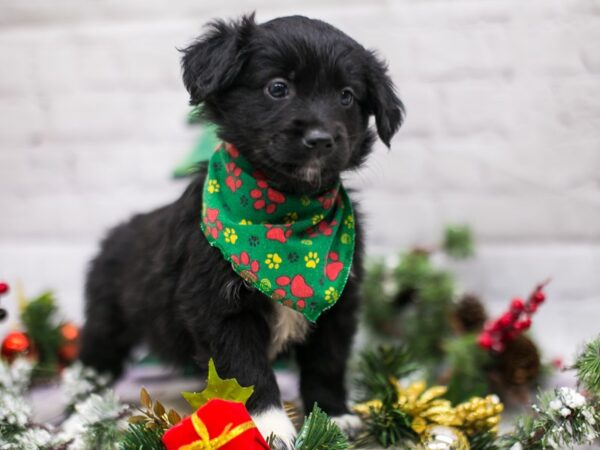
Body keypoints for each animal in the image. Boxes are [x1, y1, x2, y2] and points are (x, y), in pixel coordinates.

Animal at [77, 14, 400, 446]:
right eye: (277, 88)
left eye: (347, 96)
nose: (320, 139)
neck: (286, 219)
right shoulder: (217, 307)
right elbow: (245, 371)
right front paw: (269, 426)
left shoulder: (339, 304)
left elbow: (327, 362)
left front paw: (334, 415)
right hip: (106, 320)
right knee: (90, 368)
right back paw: (81, 412)